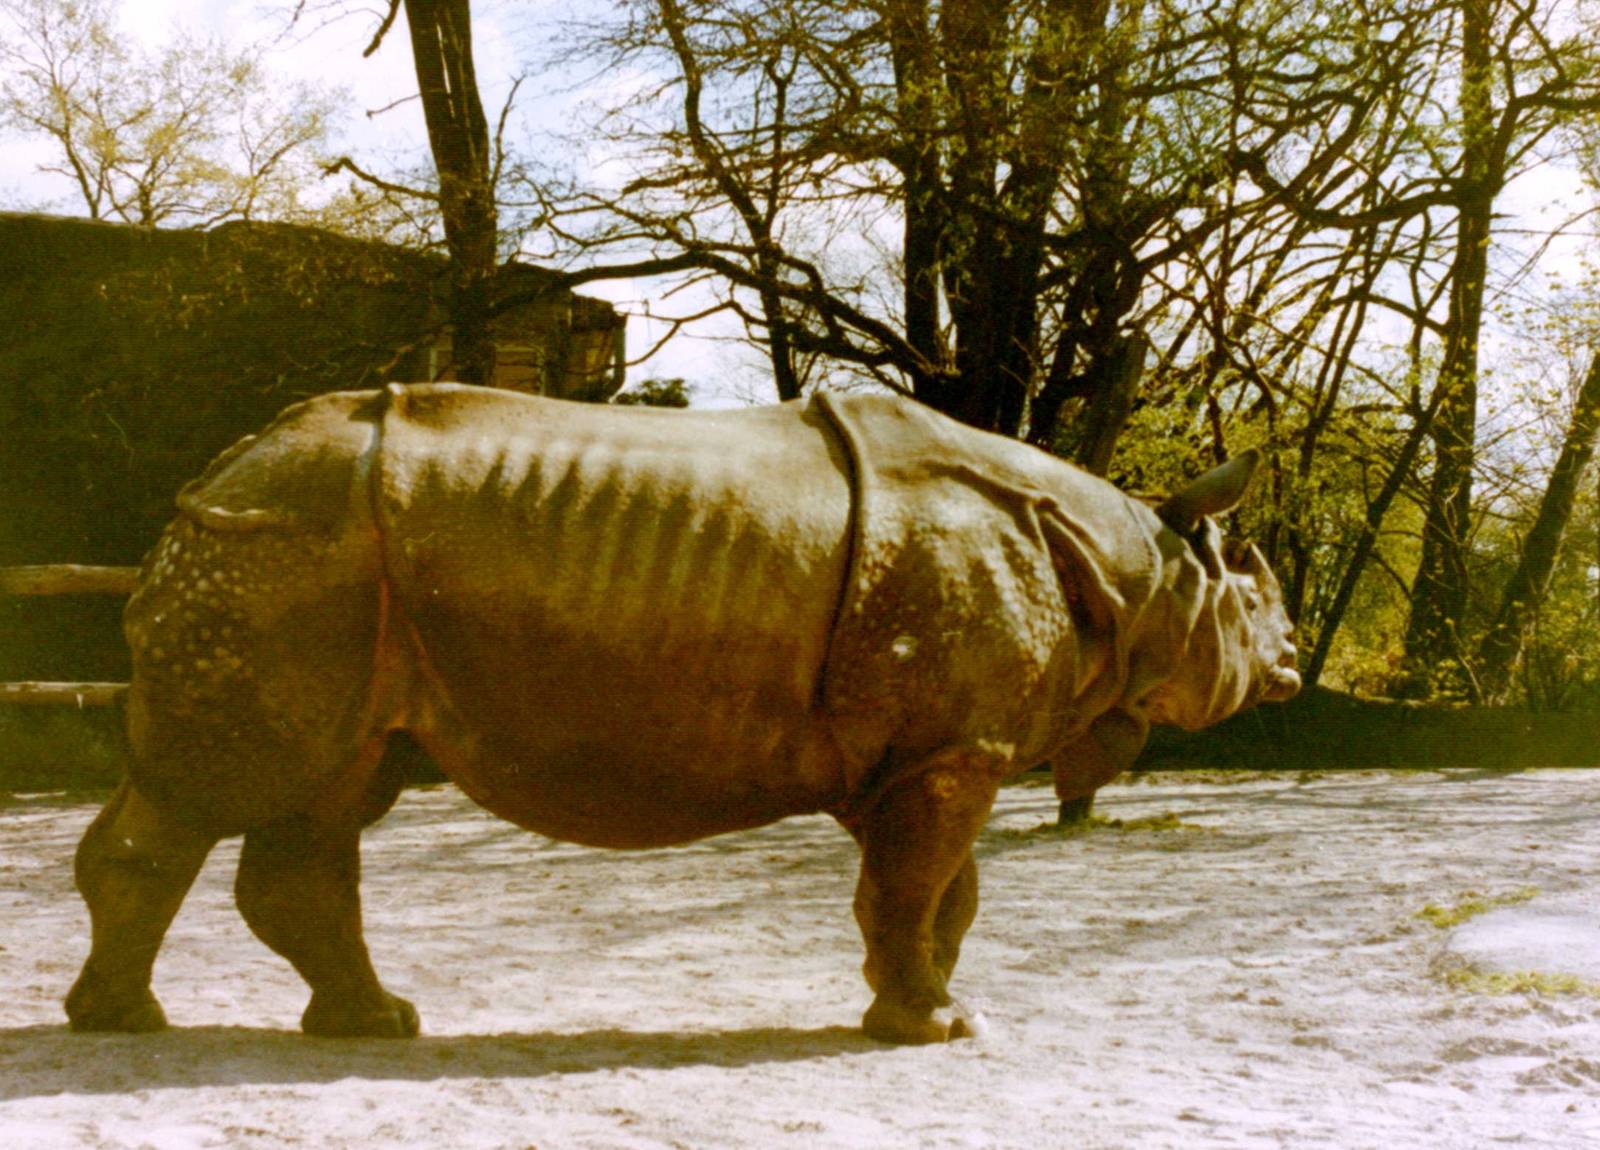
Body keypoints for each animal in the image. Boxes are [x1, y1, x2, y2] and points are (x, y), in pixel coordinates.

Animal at [65, 383, 1299, 1045]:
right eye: (1256, 601)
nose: (1291, 664)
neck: (1145, 569)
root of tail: (215, 474)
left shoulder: (931, 748)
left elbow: (939, 896)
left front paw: (920, 1009)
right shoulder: (953, 748)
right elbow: (917, 889)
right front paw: (933, 1027)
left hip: (317, 570)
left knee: (330, 793)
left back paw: (373, 1024)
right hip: (282, 550)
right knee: (222, 790)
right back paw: (125, 1025)